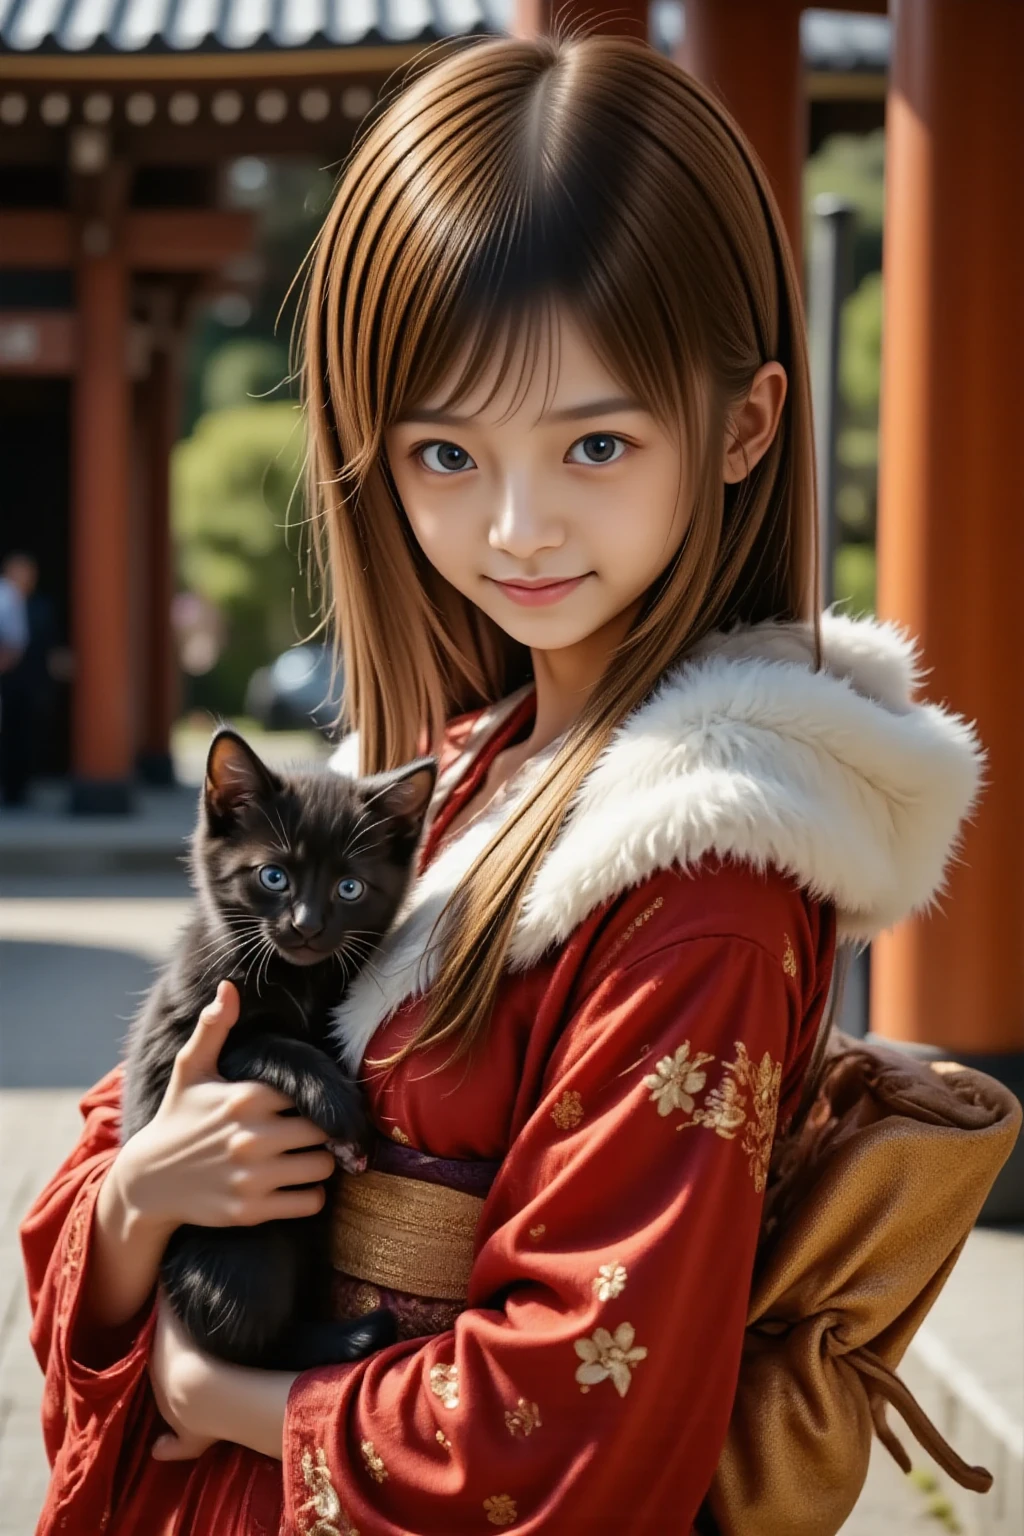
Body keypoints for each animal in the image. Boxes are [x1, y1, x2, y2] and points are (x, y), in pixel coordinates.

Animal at [122, 728, 436, 1370]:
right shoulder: (182, 1038)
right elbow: (267, 1042)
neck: (301, 978)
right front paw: (339, 1111)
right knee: (241, 1333)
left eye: (349, 887)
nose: (307, 926)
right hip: (243, 1248)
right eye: (273, 877)